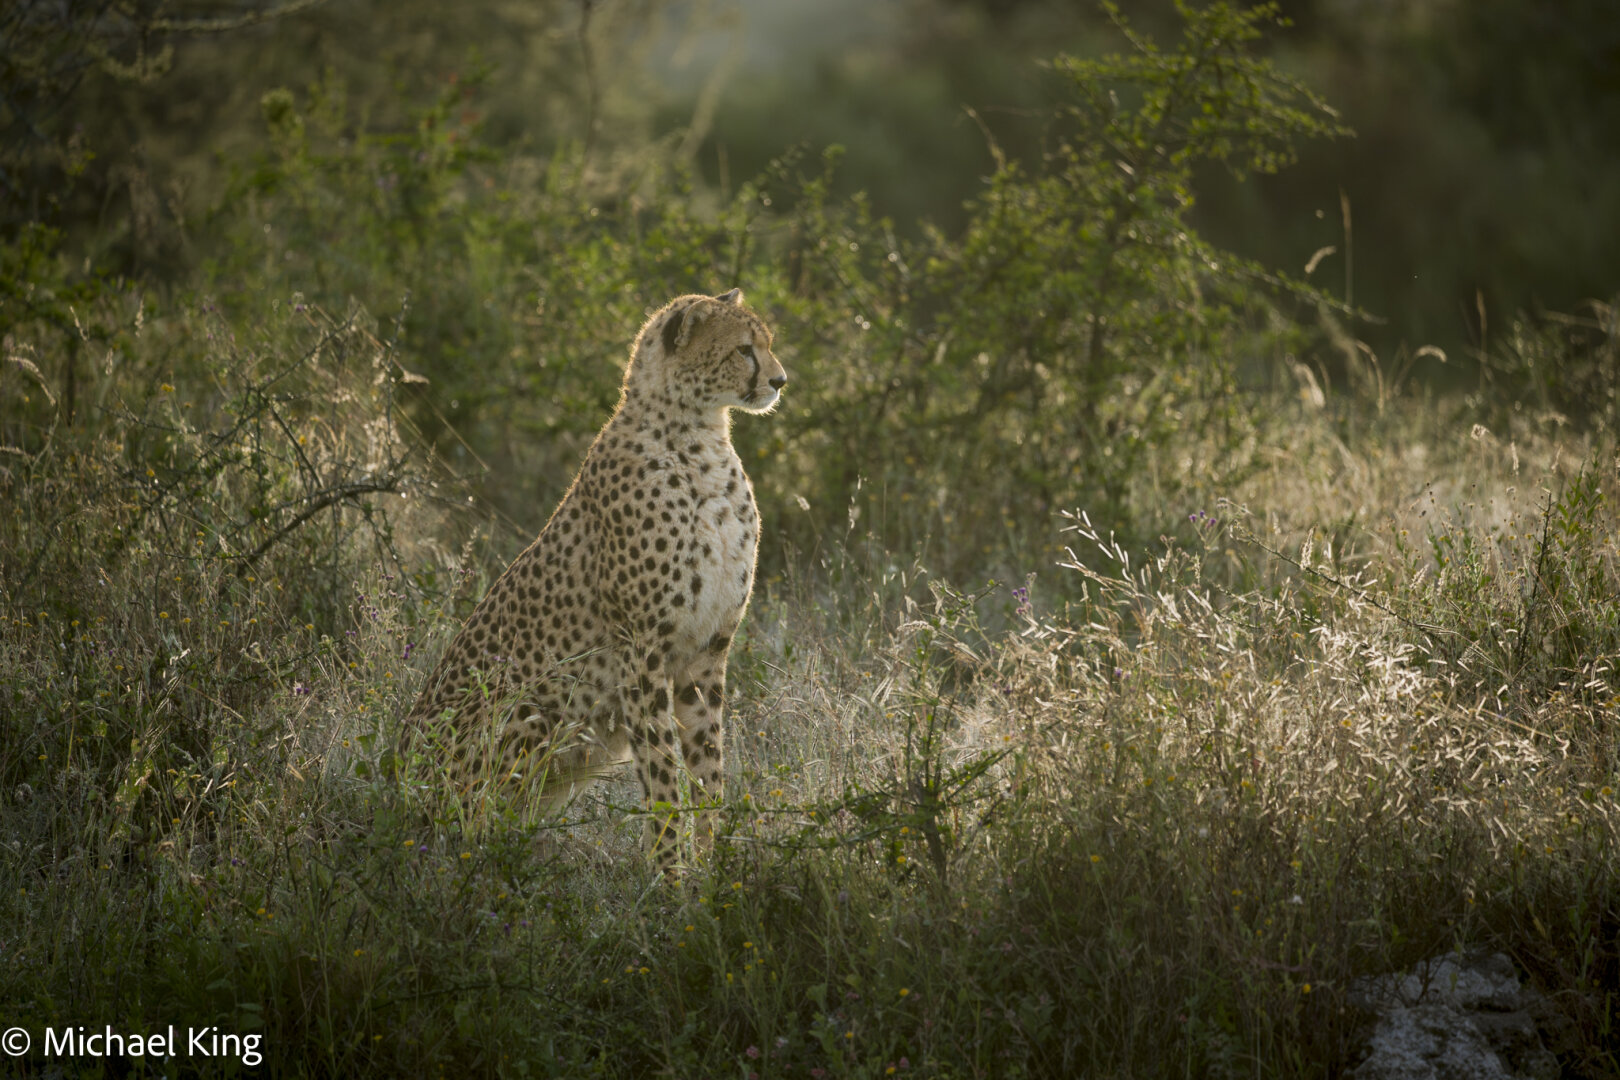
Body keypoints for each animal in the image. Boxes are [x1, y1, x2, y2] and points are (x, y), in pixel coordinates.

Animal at [399, 289, 786, 872]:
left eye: (764, 345)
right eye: (744, 349)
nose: (780, 381)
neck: (701, 438)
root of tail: (392, 780)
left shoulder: (706, 654)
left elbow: (708, 768)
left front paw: (714, 869)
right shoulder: (643, 649)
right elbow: (662, 772)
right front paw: (669, 874)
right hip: (528, 708)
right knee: (465, 823)